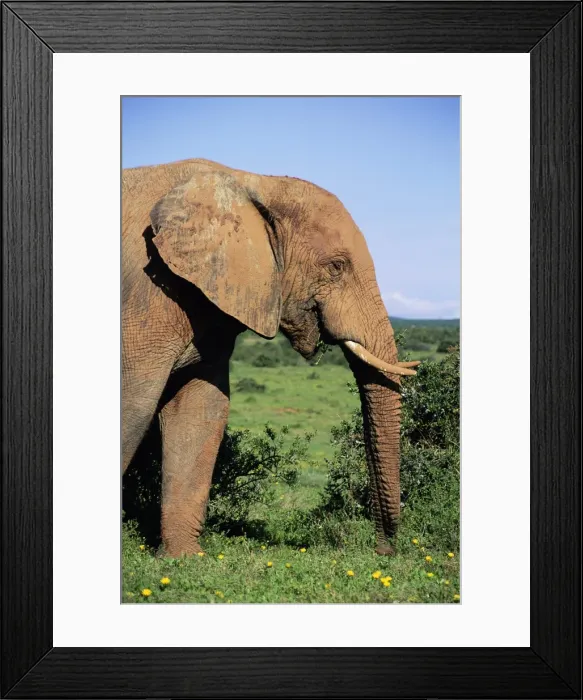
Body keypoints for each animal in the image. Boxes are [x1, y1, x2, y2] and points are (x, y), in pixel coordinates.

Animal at [122, 158, 419, 558]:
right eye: (336, 266)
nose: (383, 549)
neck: (255, 183)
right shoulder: (145, 296)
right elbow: (134, 405)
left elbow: (201, 409)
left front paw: (182, 560)